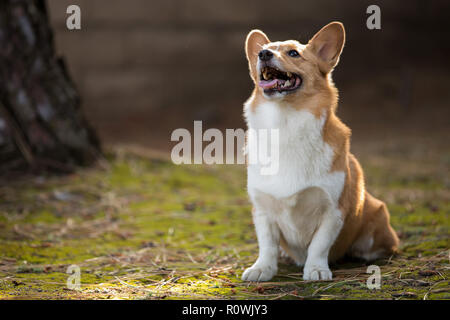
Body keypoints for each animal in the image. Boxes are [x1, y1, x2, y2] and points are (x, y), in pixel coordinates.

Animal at [241, 21, 400, 280]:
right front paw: (262, 268)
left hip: (377, 214)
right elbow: (267, 245)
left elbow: (319, 244)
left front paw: (315, 269)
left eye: (293, 53)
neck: (285, 122)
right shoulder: (262, 209)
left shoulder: (333, 210)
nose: (263, 54)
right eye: (262, 51)